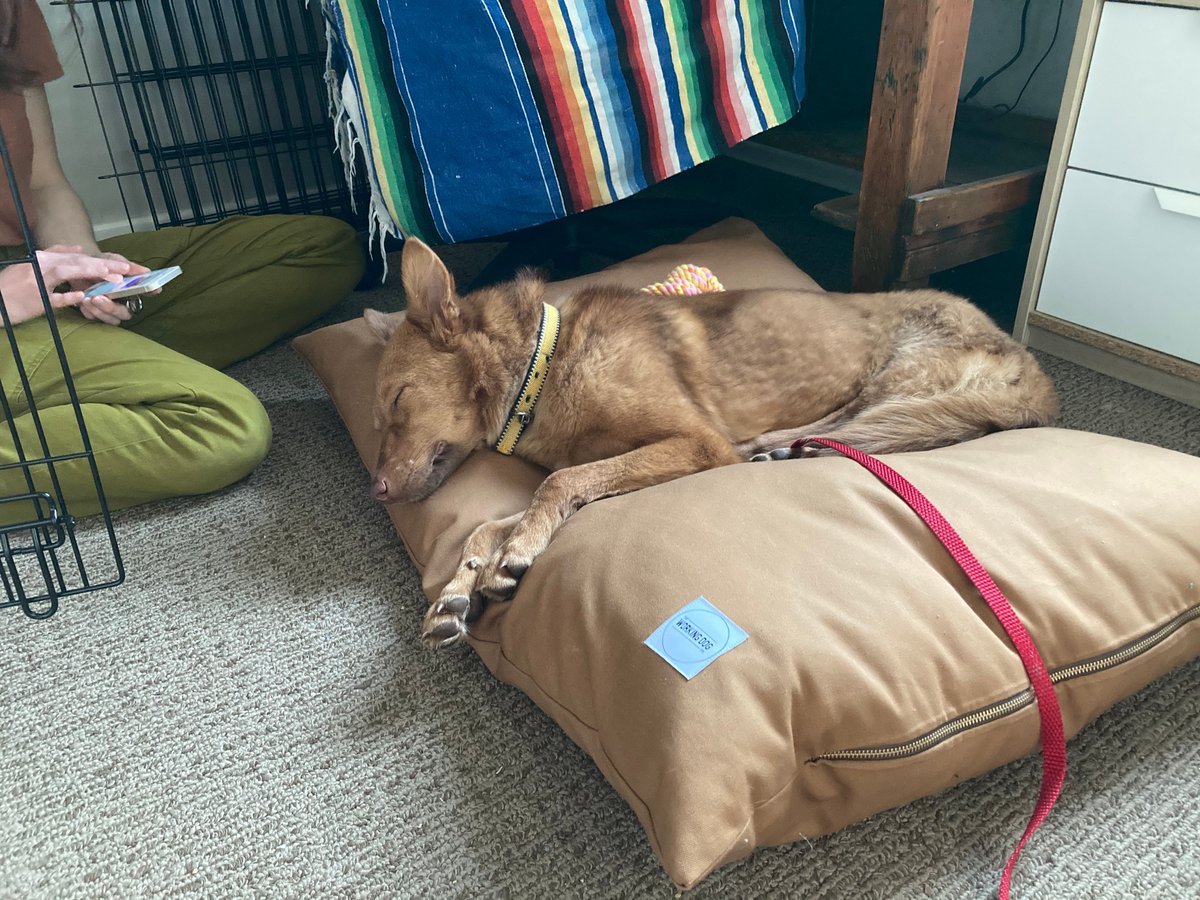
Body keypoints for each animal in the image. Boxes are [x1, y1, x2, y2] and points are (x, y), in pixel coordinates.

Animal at [364, 237, 1058, 648]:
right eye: (380, 414)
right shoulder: (611, 460)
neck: (546, 361)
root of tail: (1033, 370)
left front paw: (517, 551)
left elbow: (555, 485)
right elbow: (496, 520)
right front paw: (458, 589)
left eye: (397, 400)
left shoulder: (698, 443)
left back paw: (781, 446)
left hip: (898, 376)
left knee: (851, 427)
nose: (378, 491)